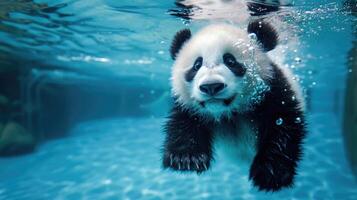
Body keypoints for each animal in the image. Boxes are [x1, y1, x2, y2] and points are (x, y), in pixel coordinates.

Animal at [161, 20, 306, 192]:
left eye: (230, 61)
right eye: (197, 65)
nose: (211, 86)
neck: (229, 113)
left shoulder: (272, 90)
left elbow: (283, 124)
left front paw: (271, 172)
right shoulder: (187, 104)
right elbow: (183, 122)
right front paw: (186, 158)